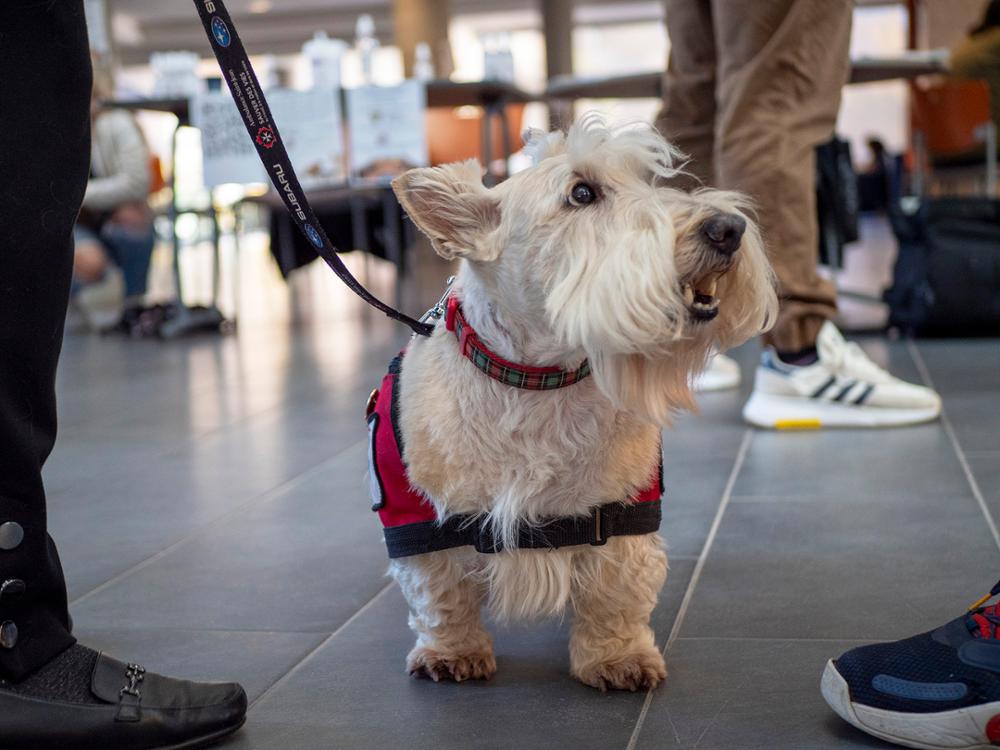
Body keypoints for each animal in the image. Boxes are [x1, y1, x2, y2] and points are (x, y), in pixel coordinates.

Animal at [384, 119, 780, 692]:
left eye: (646, 178)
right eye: (582, 194)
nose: (728, 228)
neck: (536, 381)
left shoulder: (623, 509)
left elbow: (616, 592)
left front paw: (618, 659)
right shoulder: (417, 515)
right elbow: (440, 593)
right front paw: (451, 653)